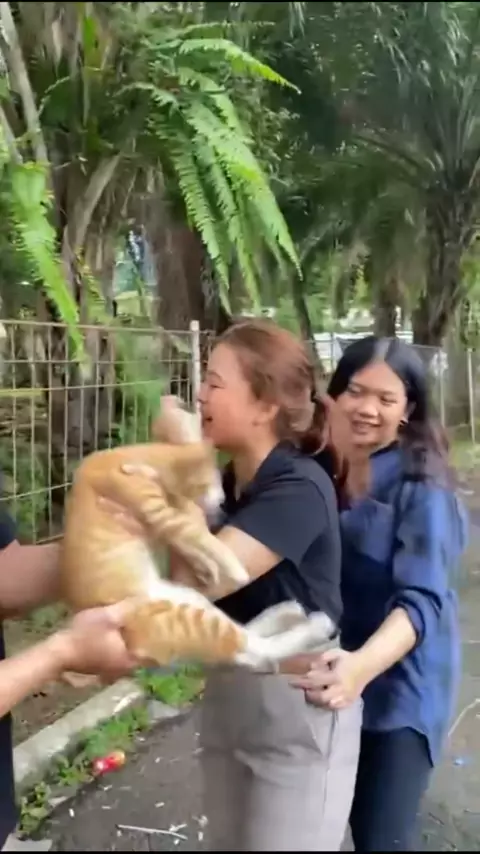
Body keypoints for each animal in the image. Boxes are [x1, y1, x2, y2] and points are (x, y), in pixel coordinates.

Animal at [59, 396, 337, 675]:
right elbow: (194, 533)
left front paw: (208, 568)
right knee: (252, 647)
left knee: (249, 645)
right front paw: (234, 569)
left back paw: (289, 613)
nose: (223, 502)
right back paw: (311, 623)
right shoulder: (158, 510)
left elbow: (189, 537)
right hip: (187, 620)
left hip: (191, 602)